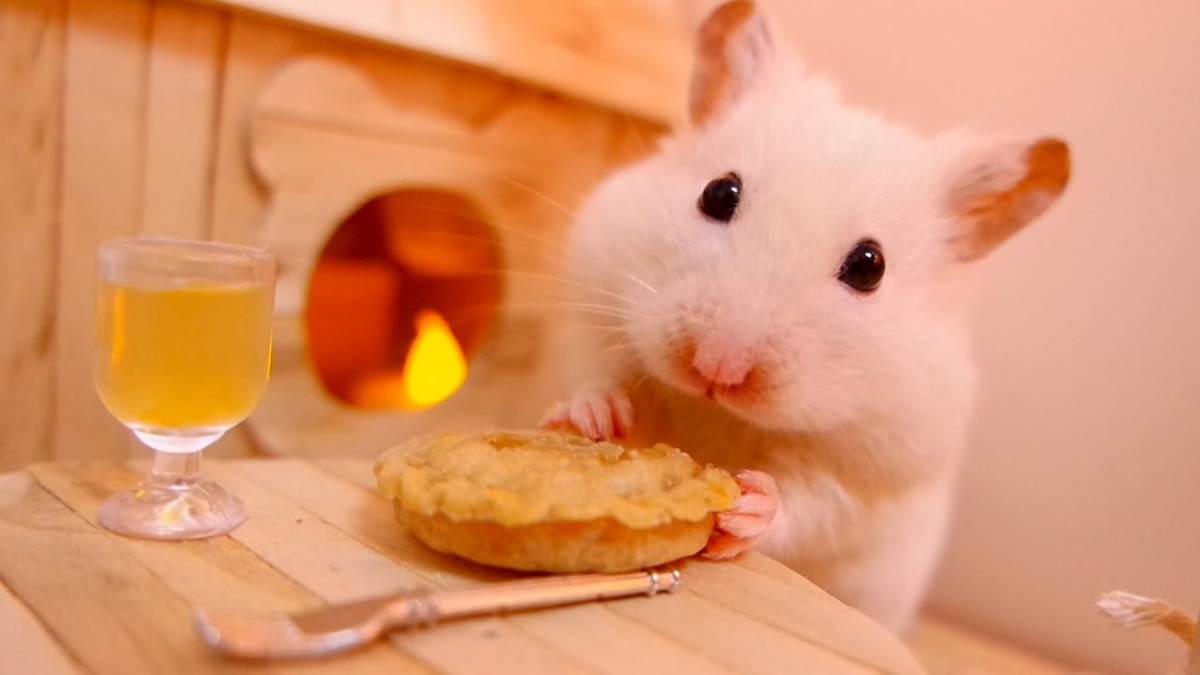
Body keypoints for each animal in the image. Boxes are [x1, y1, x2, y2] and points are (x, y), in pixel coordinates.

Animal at [542, 0, 1070, 631]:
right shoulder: (590, 304)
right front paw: (595, 419)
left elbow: (808, 501)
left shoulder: (872, 473)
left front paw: (746, 508)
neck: (716, 413)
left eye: (870, 266)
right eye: (718, 193)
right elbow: (591, 373)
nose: (716, 368)